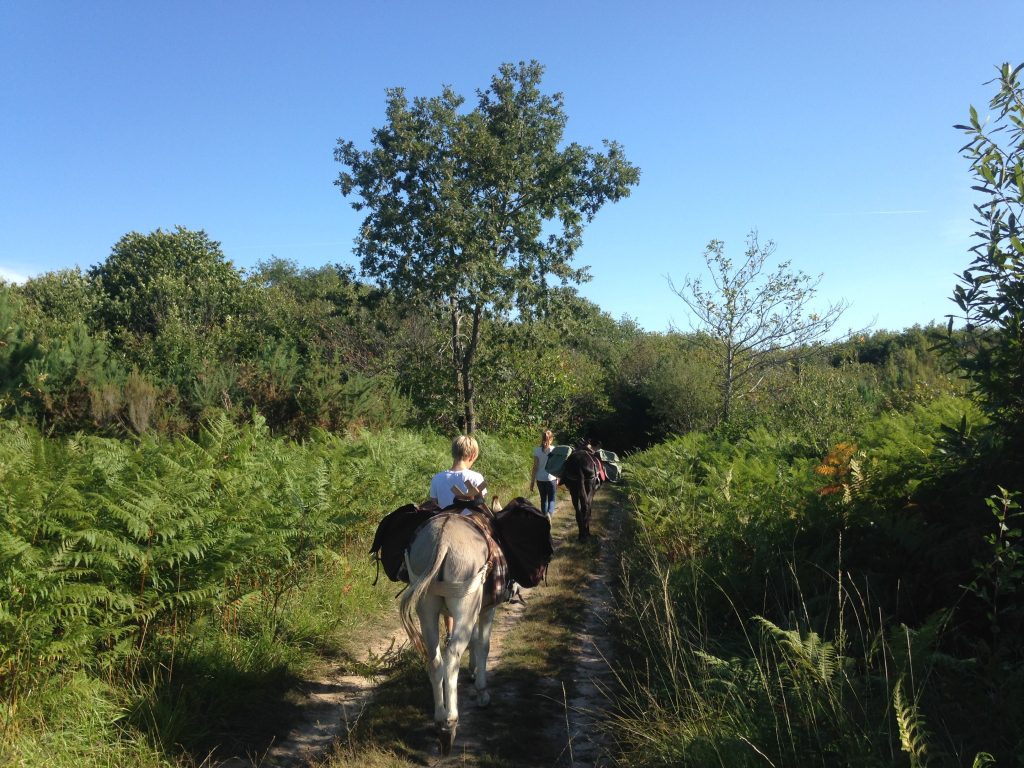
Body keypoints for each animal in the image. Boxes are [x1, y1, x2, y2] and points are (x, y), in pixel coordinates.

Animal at [397, 507, 497, 753]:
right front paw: (482, 691)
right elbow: (483, 645)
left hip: (426, 606)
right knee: (451, 657)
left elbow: (473, 642)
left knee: (435, 659)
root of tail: (443, 542)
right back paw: (449, 723)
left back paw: (440, 720)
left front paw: (473, 671)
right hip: (465, 605)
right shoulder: (486, 609)